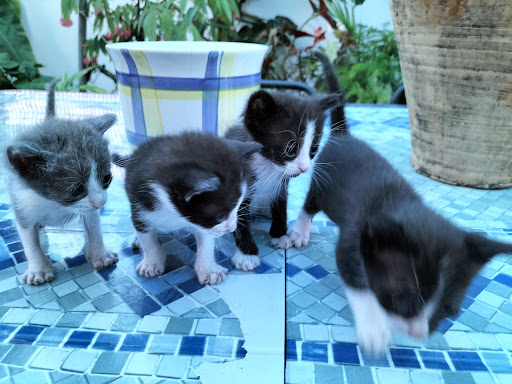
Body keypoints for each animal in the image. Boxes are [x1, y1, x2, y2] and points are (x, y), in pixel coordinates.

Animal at [4, 79, 118, 284]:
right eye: (76, 190)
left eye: (106, 179)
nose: (101, 203)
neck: (54, 204)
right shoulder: (22, 205)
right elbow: (29, 241)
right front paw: (38, 270)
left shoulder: (89, 210)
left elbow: (94, 228)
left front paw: (100, 255)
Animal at [114, 132, 262, 284]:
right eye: (220, 216)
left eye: (238, 207)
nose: (232, 228)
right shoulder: (139, 204)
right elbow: (146, 237)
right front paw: (151, 262)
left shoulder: (204, 225)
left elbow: (206, 241)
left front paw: (208, 270)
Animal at [225, 54, 342, 272]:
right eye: (290, 149)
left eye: (313, 149)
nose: (304, 168)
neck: (267, 165)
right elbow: (240, 217)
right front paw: (247, 254)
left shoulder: (283, 180)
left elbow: (280, 204)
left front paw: (280, 234)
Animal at [282, 52, 512, 356]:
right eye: (402, 300)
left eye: (448, 312)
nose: (419, 334)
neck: (404, 205)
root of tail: (343, 134)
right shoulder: (352, 240)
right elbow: (359, 283)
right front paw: (374, 329)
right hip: (323, 186)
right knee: (308, 205)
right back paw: (300, 230)